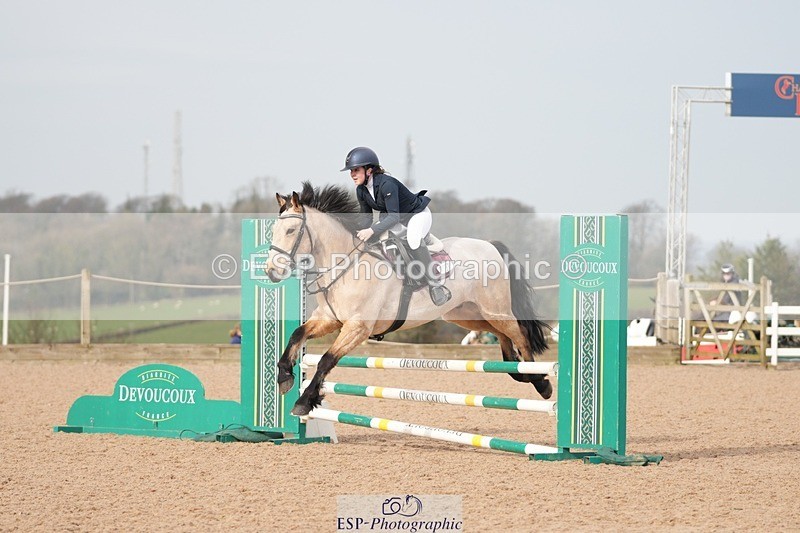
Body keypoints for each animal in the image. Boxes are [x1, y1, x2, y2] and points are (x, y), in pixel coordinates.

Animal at [264, 182, 551, 416]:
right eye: (275, 230)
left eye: (291, 230)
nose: (271, 272)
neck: (346, 264)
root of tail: (490, 245)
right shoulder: (329, 320)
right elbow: (297, 334)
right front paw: (285, 377)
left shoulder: (357, 328)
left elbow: (326, 359)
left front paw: (304, 402)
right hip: (468, 314)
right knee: (504, 338)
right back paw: (519, 372)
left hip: (494, 310)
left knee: (521, 335)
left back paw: (540, 382)